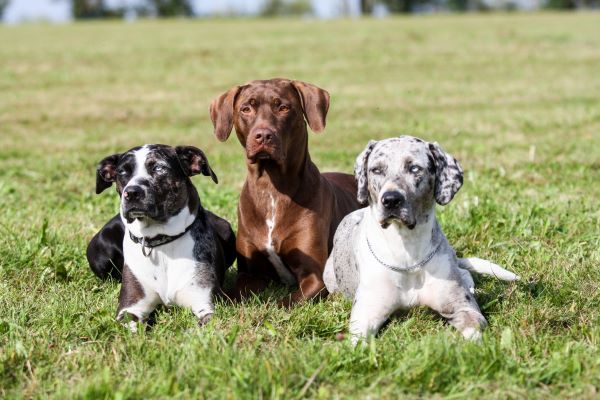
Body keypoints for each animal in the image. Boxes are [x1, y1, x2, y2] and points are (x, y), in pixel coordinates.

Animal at [92, 144, 236, 328]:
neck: (160, 241)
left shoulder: (206, 302)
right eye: (122, 172)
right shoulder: (131, 307)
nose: (131, 192)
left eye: (159, 168)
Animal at [211, 78, 360, 306]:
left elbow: (285, 303)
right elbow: (235, 295)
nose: (263, 136)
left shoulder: (315, 276)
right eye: (246, 109)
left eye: (283, 108)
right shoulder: (250, 273)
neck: (271, 188)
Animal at [324, 137, 520, 344]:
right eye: (376, 169)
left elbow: (474, 333)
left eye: (414, 168)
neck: (407, 252)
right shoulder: (364, 316)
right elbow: (357, 342)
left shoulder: (463, 308)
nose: (391, 200)